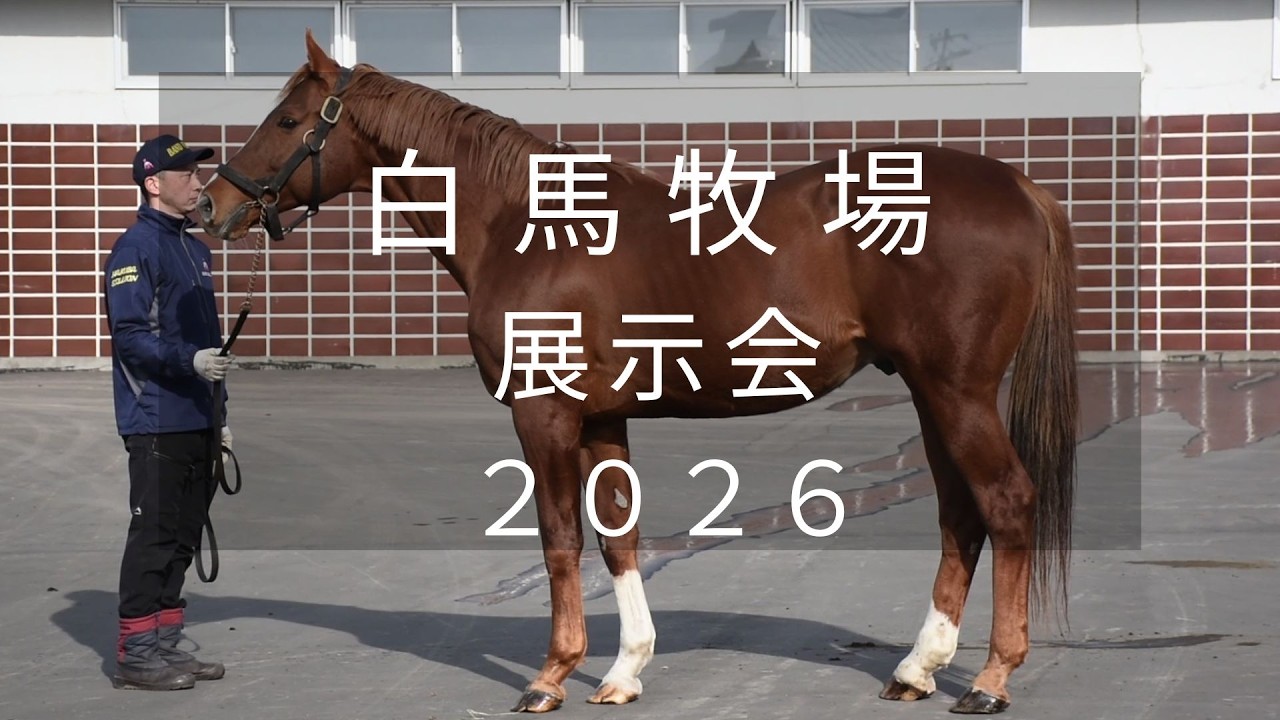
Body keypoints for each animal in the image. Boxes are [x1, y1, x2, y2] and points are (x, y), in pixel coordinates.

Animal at [197, 30, 1079, 716]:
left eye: (287, 119)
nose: (213, 206)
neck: (525, 222)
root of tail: (1018, 184)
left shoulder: (544, 414)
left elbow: (558, 539)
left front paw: (551, 677)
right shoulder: (600, 419)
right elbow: (618, 534)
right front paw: (623, 671)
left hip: (957, 393)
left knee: (1006, 501)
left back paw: (990, 680)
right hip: (932, 393)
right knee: (959, 514)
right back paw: (917, 669)